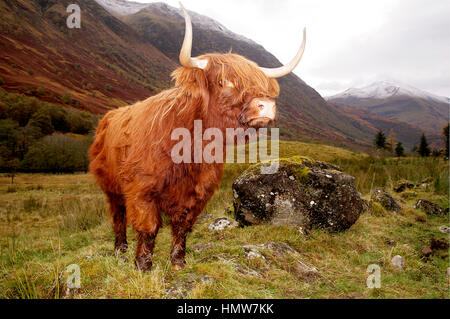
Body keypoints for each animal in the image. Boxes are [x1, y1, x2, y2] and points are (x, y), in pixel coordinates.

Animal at [88, 3, 306, 272]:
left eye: (261, 84)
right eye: (224, 81)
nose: (266, 106)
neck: (191, 150)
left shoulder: (198, 192)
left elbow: (183, 226)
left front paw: (178, 262)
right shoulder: (141, 188)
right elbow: (148, 228)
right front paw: (143, 266)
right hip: (111, 187)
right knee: (118, 215)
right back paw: (120, 249)